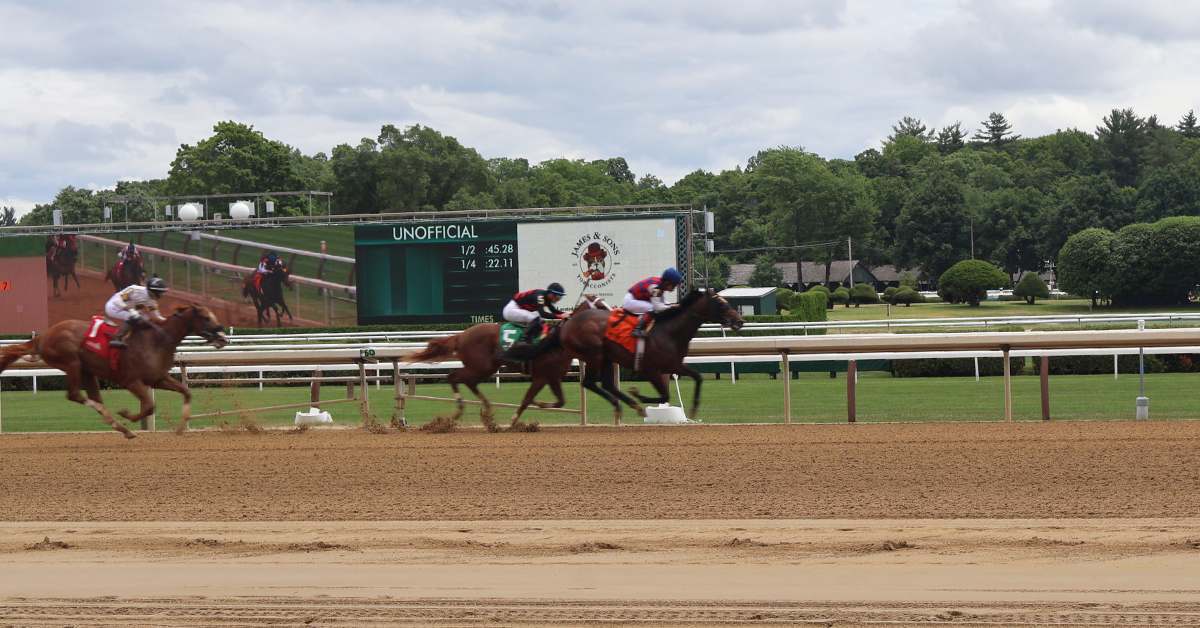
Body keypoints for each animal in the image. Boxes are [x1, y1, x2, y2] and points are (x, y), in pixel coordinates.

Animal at [0, 307, 229, 439]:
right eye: (206, 317)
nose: (223, 337)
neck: (157, 340)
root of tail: (43, 336)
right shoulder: (131, 381)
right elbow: (148, 406)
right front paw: (127, 413)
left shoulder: (157, 378)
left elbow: (185, 392)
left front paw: (181, 428)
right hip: (72, 362)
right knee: (75, 395)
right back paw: (121, 424)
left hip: (87, 371)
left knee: (92, 397)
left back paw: (123, 429)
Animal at [403, 295, 609, 432]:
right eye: (600, 305)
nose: (613, 316)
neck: (557, 341)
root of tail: (461, 335)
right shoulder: (542, 376)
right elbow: (527, 400)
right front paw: (513, 421)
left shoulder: (552, 377)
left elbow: (559, 401)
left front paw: (536, 405)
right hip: (481, 366)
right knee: (453, 376)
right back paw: (458, 412)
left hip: (486, 368)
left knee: (468, 381)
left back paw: (487, 413)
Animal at [549, 289, 739, 422]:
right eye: (721, 304)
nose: (739, 321)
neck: (670, 332)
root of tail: (568, 322)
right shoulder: (651, 370)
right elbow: (665, 395)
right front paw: (639, 395)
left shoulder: (674, 365)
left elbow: (697, 377)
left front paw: (693, 408)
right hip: (594, 355)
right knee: (589, 382)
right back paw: (627, 404)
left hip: (606, 357)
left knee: (606, 384)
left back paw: (628, 405)